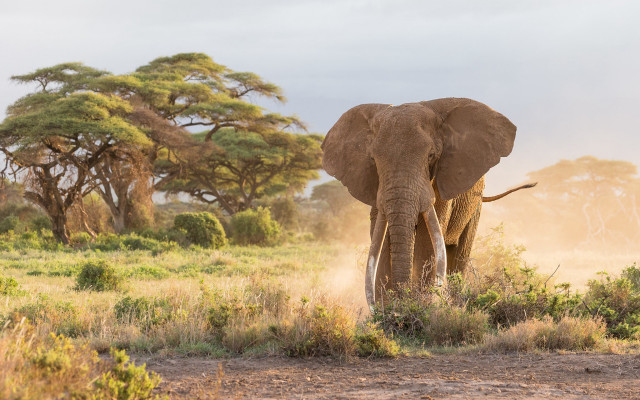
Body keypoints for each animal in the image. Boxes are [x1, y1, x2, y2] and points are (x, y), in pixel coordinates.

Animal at [321, 98, 527, 310]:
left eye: (431, 156)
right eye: (373, 159)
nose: (401, 298)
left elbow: (427, 241)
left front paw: (418, 306)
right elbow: (382, 240)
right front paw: (387, 311)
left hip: (475, 202)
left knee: (460, 255)